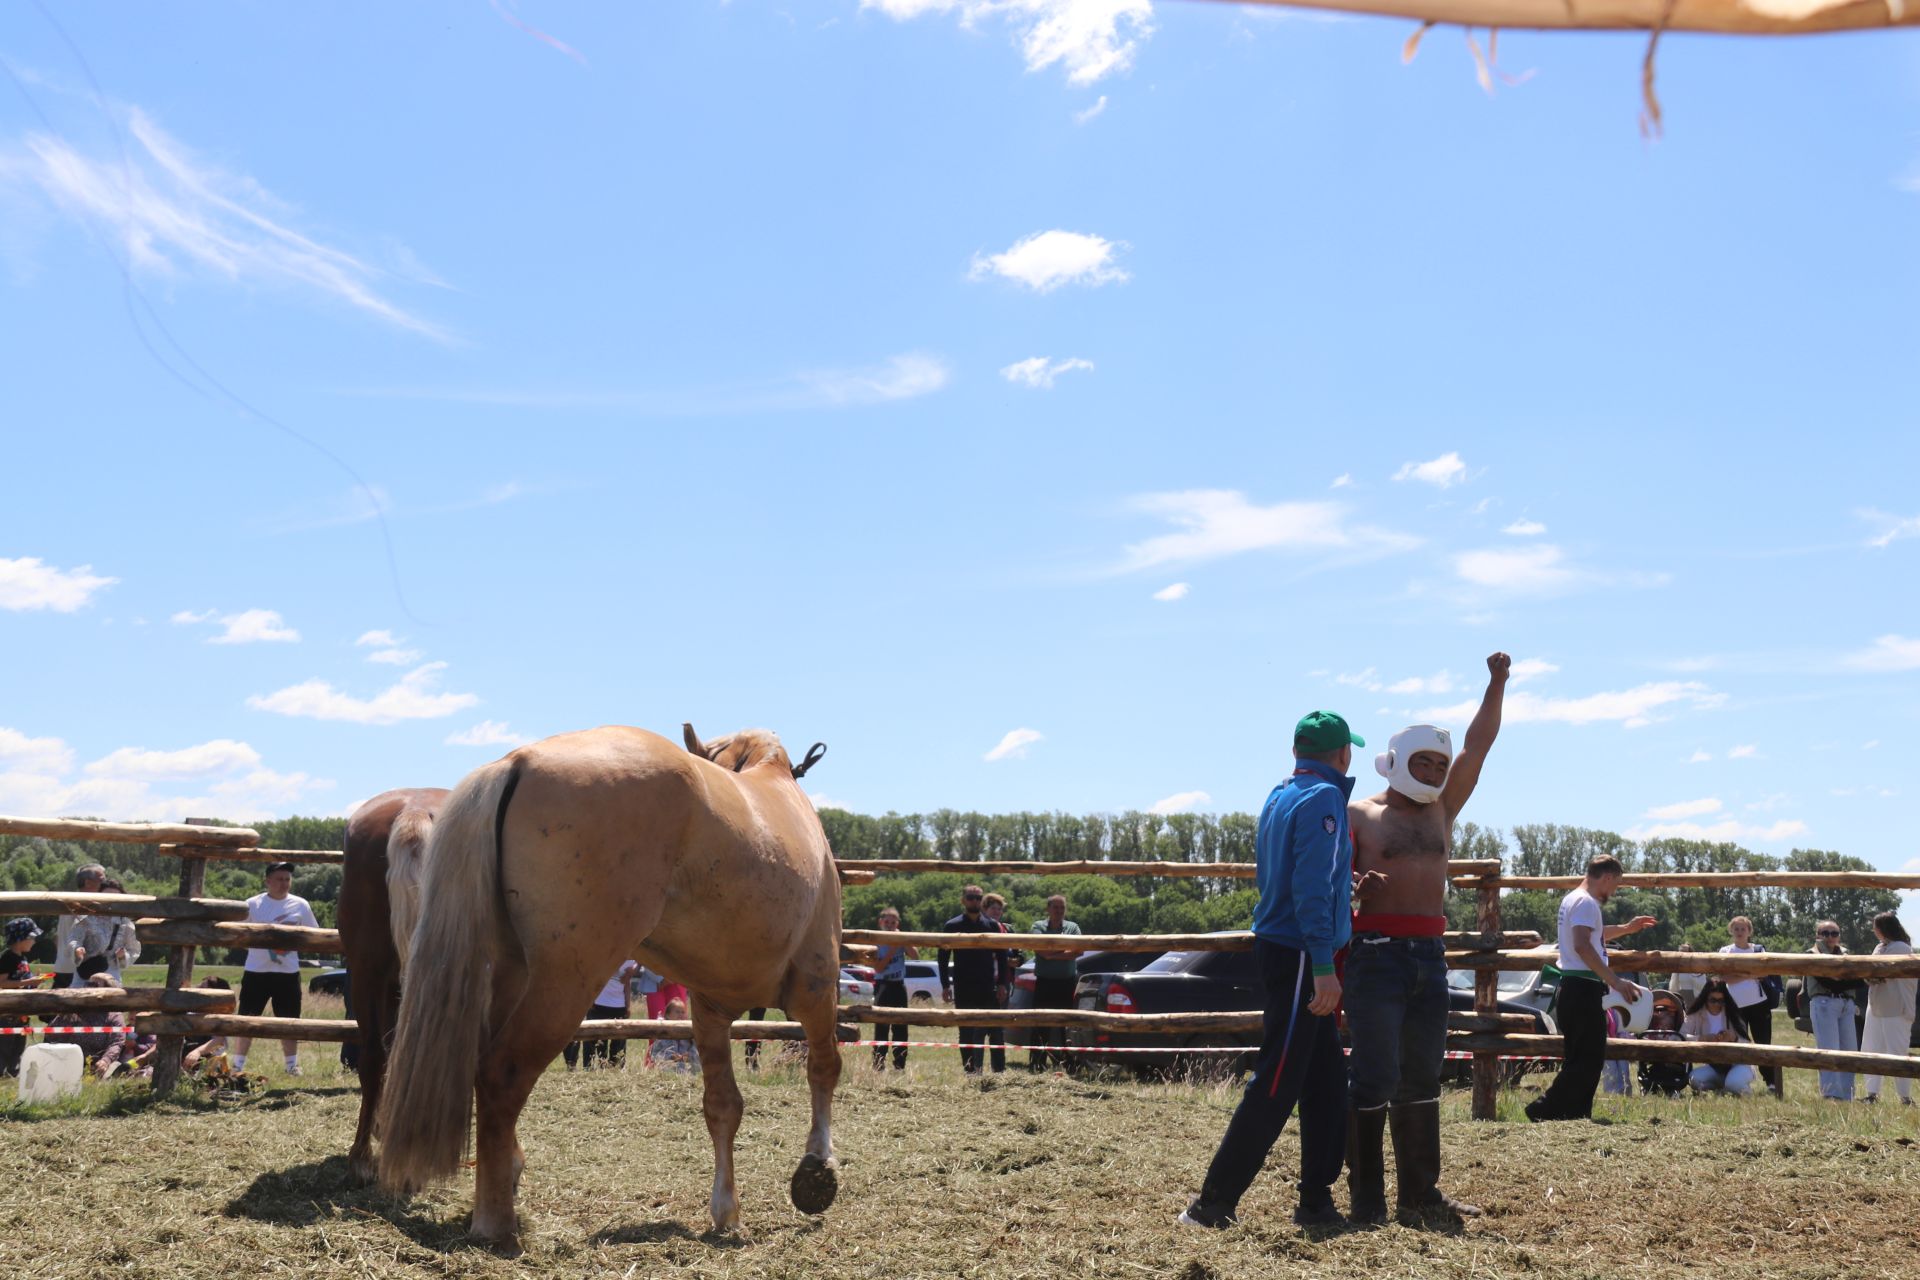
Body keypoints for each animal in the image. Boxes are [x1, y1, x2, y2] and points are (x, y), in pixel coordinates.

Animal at [374, 725, 840, 1243]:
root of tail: (516, 761)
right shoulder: (819, 986)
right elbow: (824, 1069)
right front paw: (818, 1170)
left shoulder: (710, 1010)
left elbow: (723, 1105)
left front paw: (726, 1210)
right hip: (567, 983)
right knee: (501, 1075)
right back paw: (495, 1222)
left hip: (511, 976)